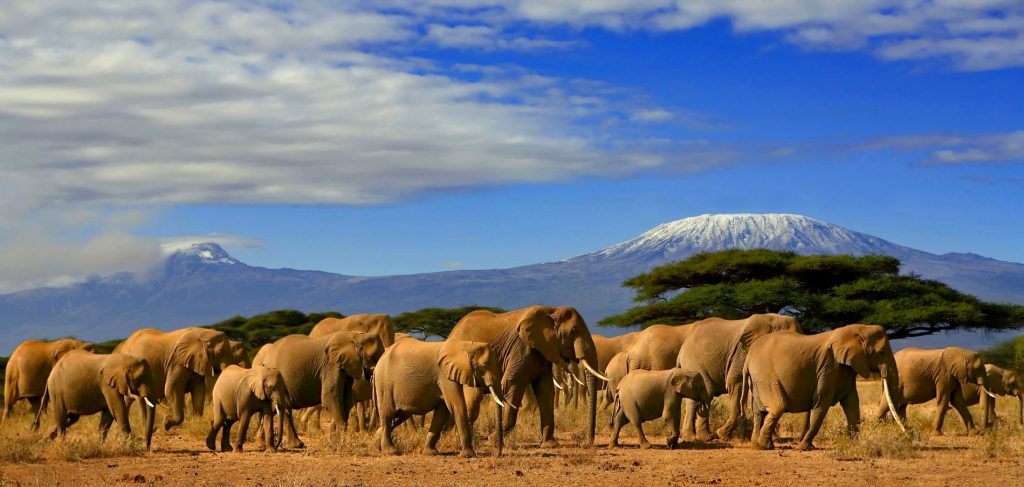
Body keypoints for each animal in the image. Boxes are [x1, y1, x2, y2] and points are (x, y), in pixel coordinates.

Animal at [250, 329, 385, 446]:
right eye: (373, 357)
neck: (356, 336)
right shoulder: (331, 365)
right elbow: (330, 397)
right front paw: (341, 442)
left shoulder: (346, 367)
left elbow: (346, 399)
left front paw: (336, 439)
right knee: (284, 408)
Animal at [372, 337, 507, 458]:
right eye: (483, 366)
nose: (499, 454)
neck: (466, 345)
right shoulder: (444, 375)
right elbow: (456, 406)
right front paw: (468, 455)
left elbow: (442, 411)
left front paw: (431, 453)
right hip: (384, 383)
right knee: (388, 414)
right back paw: (390, 452)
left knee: (399, 416)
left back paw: (377, 444)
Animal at [448, 306, 606, 446]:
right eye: (573, 330)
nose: (588, 443)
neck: (552, 310)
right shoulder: (522, 349)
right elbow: (513, 385)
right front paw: (493, 440)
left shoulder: (543, 352)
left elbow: (546, 390)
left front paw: (549, 444)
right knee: (473, 399)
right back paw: (460, 441)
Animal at [675, 311, 802, 441]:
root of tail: (683, 347)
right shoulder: (742, 353)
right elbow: (736, 382)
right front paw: (723, 435)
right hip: (693, 363)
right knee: (703, 394)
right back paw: (695, 437)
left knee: (705, 395)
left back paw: (703, 437)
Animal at [745, 325, 905, 450]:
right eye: (881, 352)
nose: (907, 435)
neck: (859, 329)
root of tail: (748, 357)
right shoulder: (828, 367)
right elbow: (822, 402)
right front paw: (805, 447)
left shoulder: (845, 369)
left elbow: (852, 403)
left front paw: (854, 444)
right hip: (765, 375)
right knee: (778, 406)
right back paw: (763, 446)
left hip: (757, 380)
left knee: (759, 411)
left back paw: (757, 445)